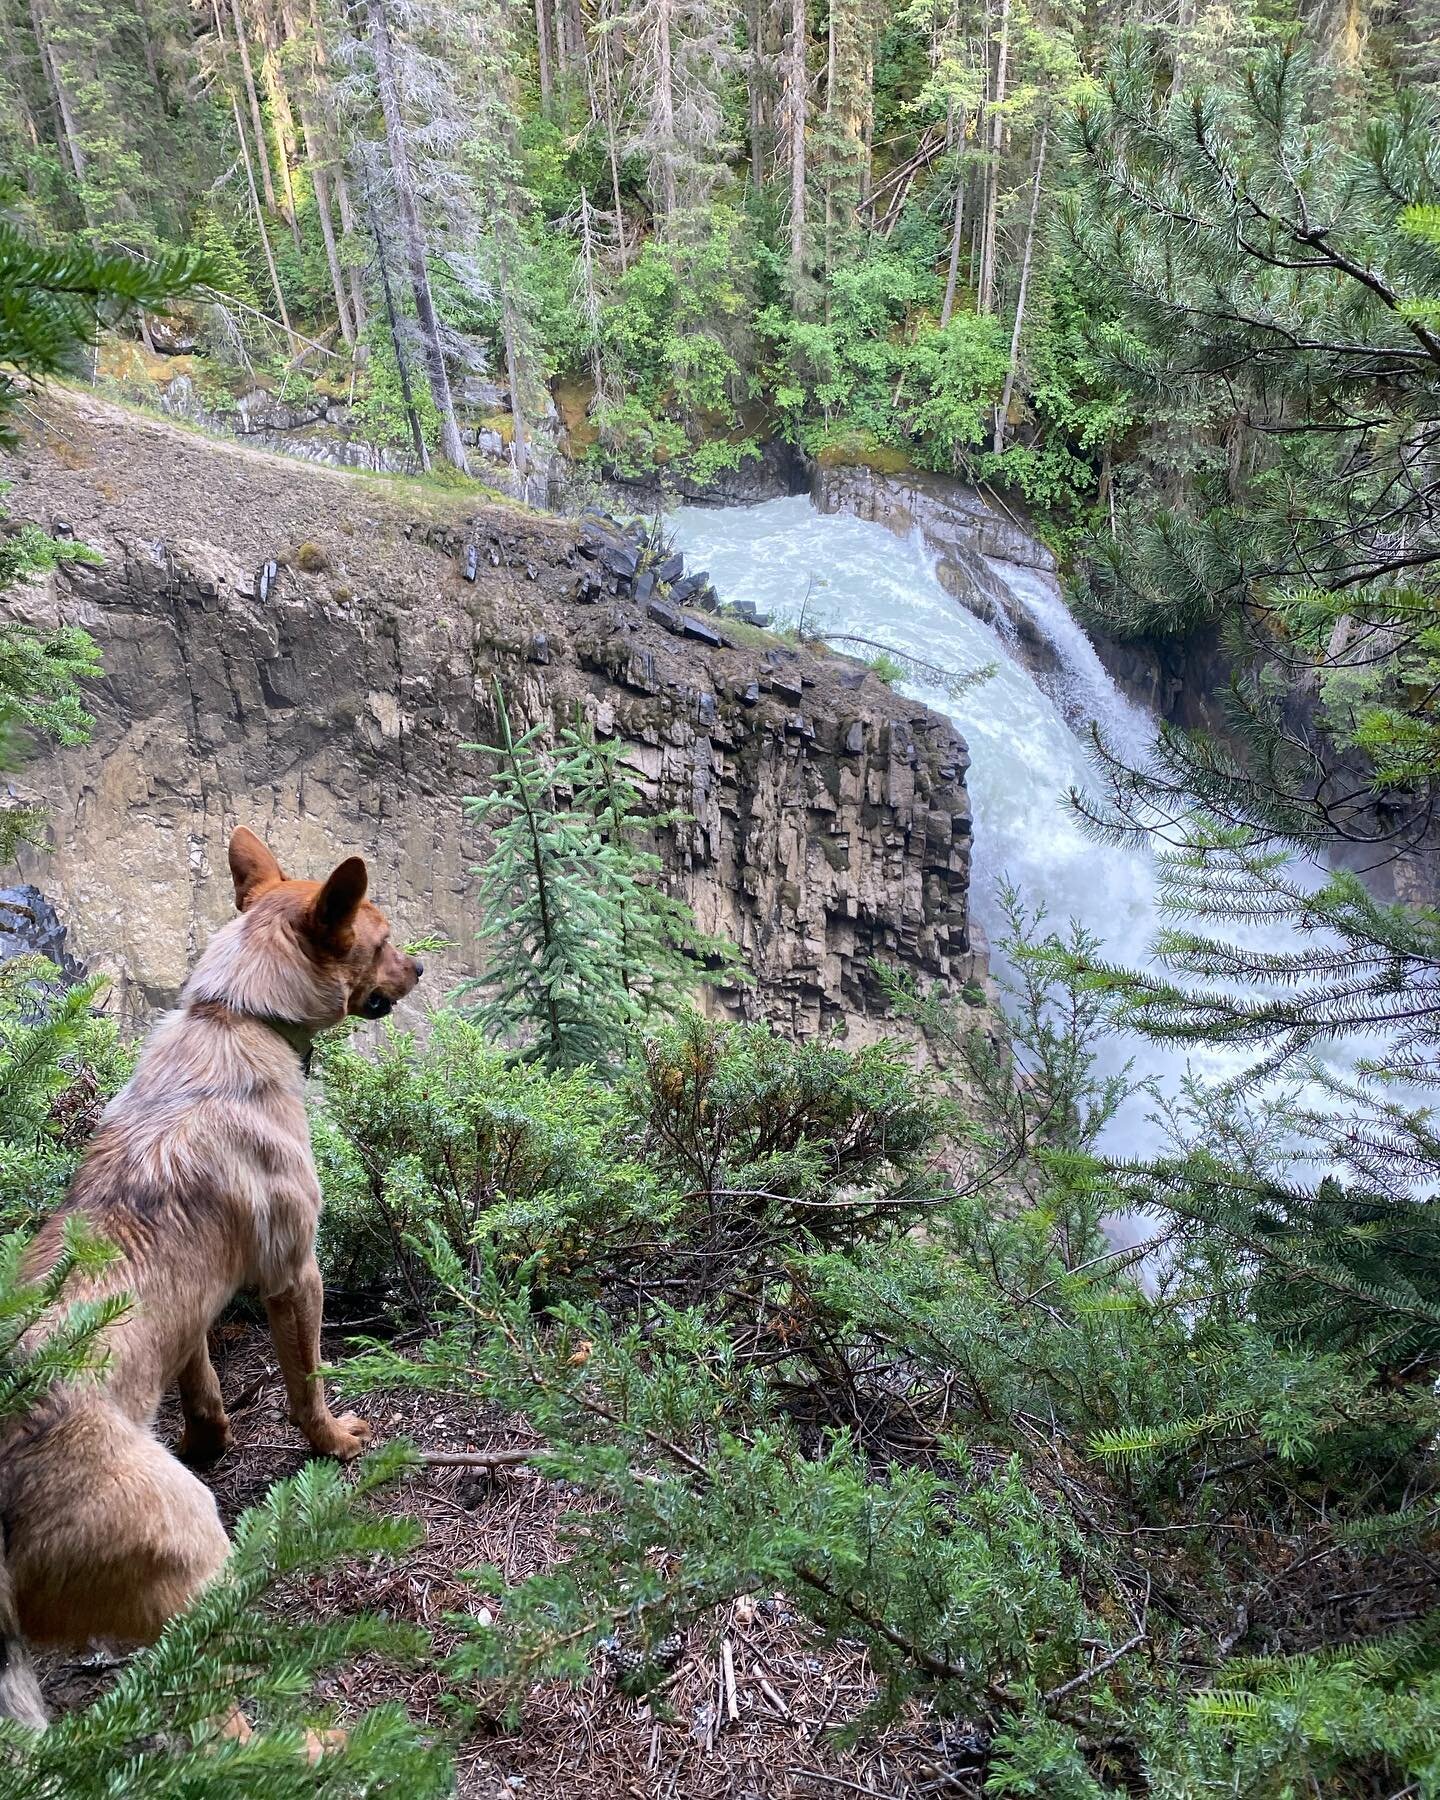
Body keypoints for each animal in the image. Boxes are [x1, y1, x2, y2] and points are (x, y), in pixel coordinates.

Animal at [0, 828, 421, 1728]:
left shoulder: (193, 1305)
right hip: (195, 1564)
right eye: (380, 938)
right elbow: (306, 1386)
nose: (421, 968)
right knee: (212, 1712)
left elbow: (200, 1384)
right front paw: (335, 1443)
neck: (237, 1013)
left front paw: (209, 1440)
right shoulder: (296, 1274)